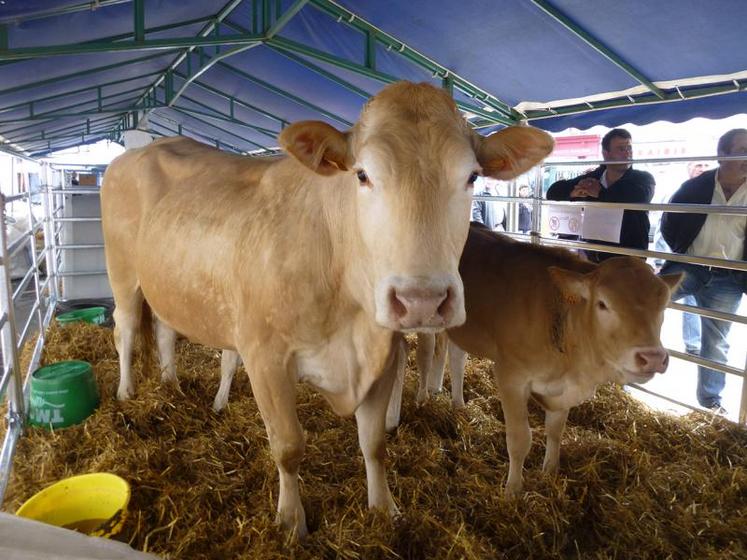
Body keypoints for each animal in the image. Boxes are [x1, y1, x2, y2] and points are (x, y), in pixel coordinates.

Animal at [101, 84, 556, 540]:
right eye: (362, 175)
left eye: (472, 176)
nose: (422, 301)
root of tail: (140, 150)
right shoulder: (265, 357)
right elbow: (288, 446)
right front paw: (291, 523)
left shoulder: (381, 353)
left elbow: (374, 443)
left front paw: (384, 510)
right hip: (122, 273)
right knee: (125, 330)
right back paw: (126, 392)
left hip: (165, 281)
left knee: (164, 330)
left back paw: (171, 385)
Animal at [398, 223, 684, 494]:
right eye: (603, 304)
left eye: (664, 306)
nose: (652, 357)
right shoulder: (511, 377)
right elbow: (519, 440)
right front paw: (513, 490)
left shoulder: (561, 388)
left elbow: (555, 431)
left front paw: (550, 471)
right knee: (425, 354)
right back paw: (423, 398)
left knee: (456, 358)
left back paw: (458, 403)